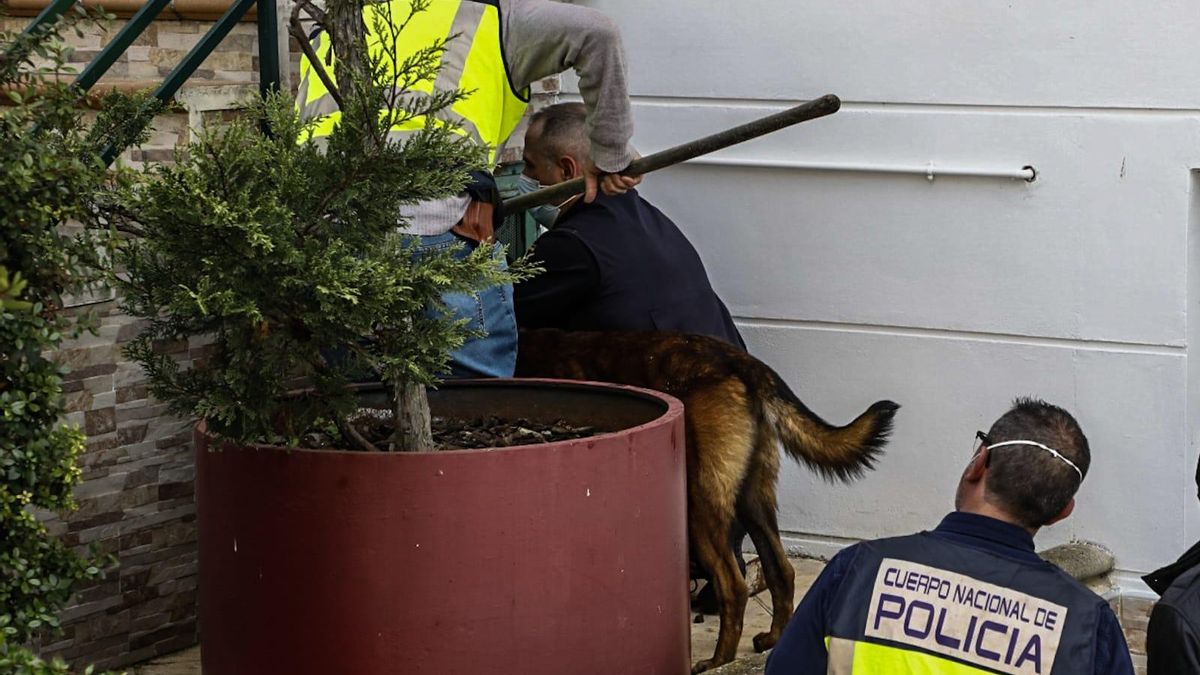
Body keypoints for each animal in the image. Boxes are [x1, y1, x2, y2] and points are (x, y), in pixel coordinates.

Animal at [516, 329, 902, 667]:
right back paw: (773, 639)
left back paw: (718, 660)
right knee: (781, 570)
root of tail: (745, 364)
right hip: (752, 499)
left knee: (733, 585)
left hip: (698, 503)